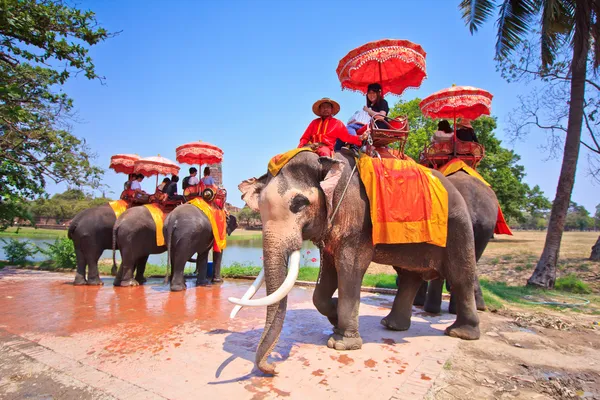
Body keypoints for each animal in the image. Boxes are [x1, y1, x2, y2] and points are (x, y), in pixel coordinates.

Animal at [227, 150, 480, 376]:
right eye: (260, 208)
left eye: (299, 203)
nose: (274, 369)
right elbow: (325, 279)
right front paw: (335, 318)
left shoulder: (357, 220)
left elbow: (350, 268)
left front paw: (341, 343)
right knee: (409, 277)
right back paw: (392, 325)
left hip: (458, 229)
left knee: (460, 277)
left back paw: (461, 334)